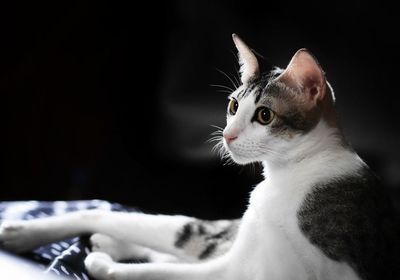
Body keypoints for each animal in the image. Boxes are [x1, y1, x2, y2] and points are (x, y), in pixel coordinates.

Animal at [0, 35, 400, 280]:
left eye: (265, 115)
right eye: (234, 106)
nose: (227, 135)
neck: (290, 178)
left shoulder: (245, 271)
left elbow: (157, 271)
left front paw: (106, 265)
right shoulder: (237, 256)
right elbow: (106, 213)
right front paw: (22, 232)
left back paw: (104, 248)